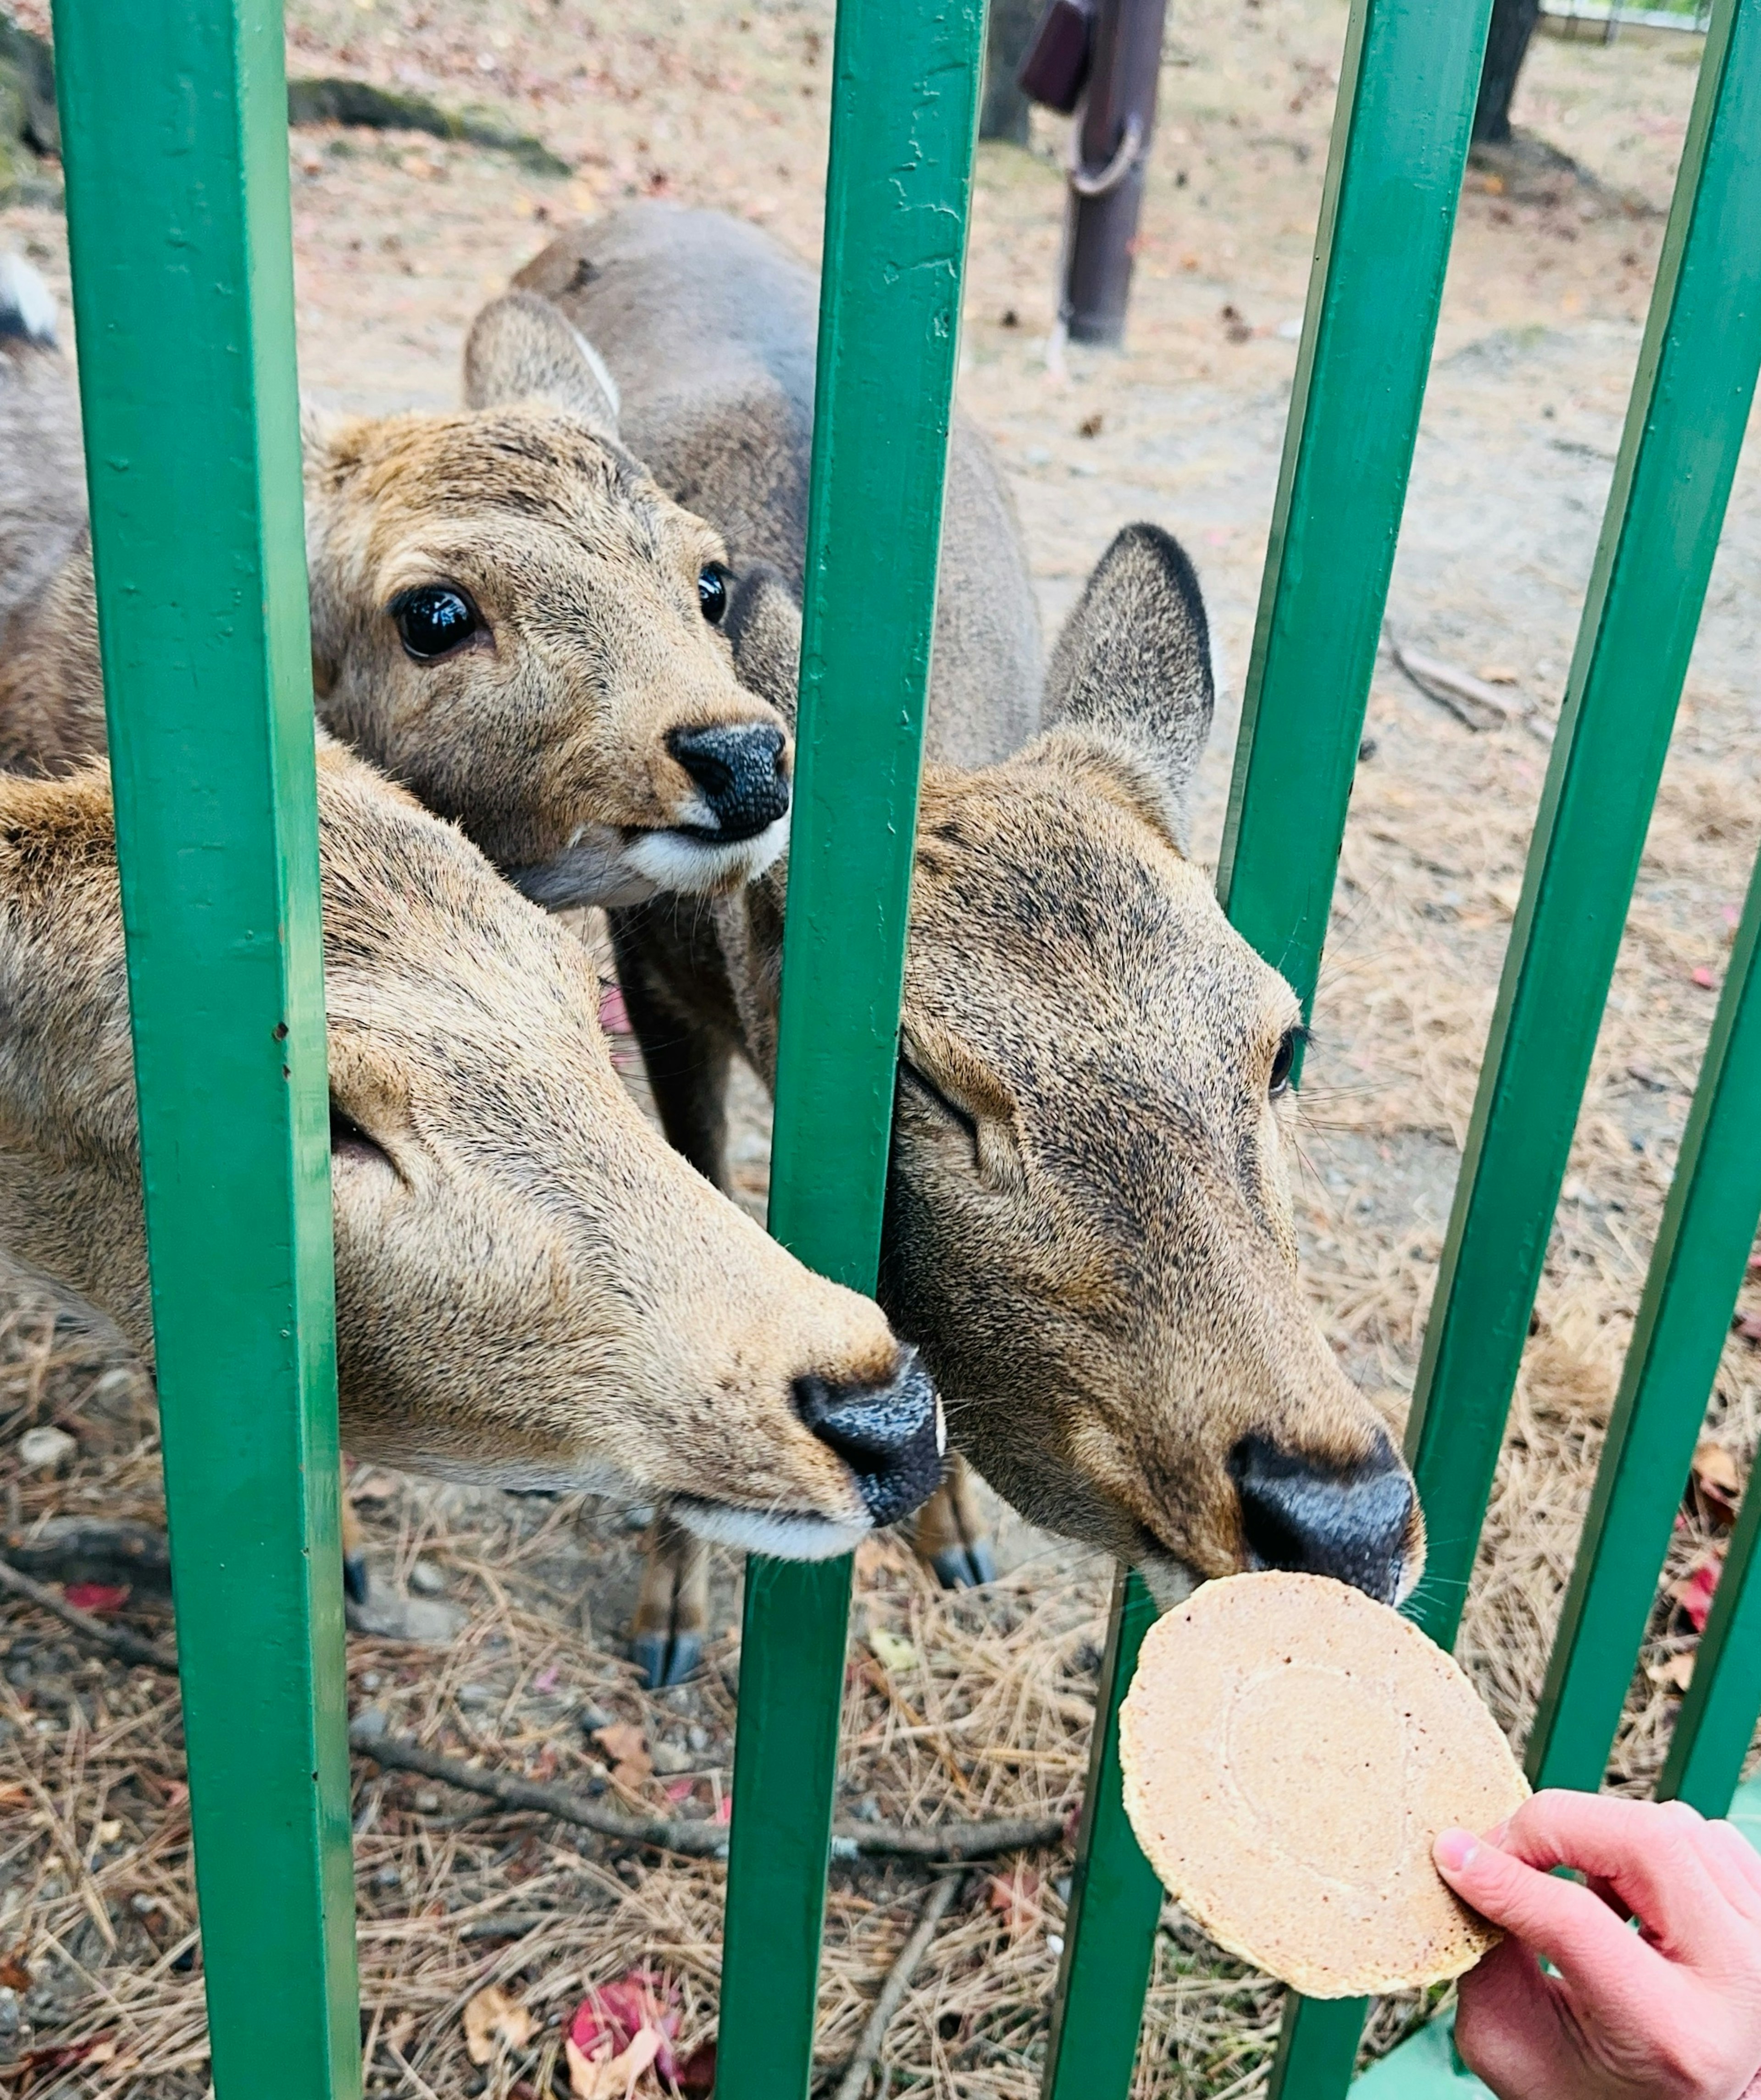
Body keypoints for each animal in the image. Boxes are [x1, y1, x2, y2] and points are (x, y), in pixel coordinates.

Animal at [512, 209, 1435, 1688]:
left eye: (1282, 1039)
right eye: (922, 1077)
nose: (1341, 1520)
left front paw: (952, 1532)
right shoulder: (652, 977)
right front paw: (668, 1609)